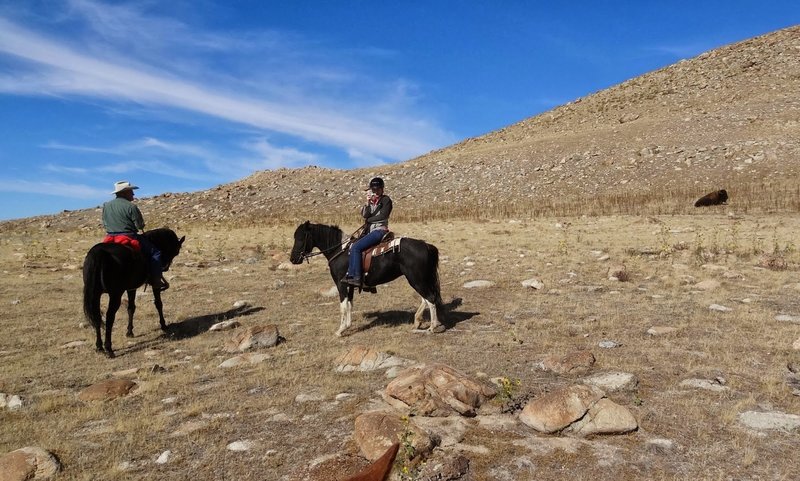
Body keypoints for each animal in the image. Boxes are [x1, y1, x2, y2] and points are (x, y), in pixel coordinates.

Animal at [82, 228, 186, 356]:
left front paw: (130, 332)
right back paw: (109, 349)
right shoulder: (154, 285)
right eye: (176, 251)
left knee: (97, 316)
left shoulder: (131, 288)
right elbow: (158, 304)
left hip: (95, 295)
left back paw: (99, 347)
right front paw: (163, 325)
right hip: (115, 294)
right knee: (110, 317)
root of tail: (99, 253)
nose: (165, 267)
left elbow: (131, 308)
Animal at [290, 220, 444, 336]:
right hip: (420, 279)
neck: (340, 251)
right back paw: (418, 321)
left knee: (430, 298)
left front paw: (340, 330)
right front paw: (348, 325)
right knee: (426, 298)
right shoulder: (350, 284)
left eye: (301, 238)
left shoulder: (341, 284)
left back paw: (432, 327)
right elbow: (350, 304)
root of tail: (425, 245)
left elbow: (343, 306)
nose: (293, 259)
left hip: (416, 279)